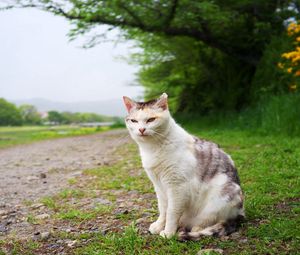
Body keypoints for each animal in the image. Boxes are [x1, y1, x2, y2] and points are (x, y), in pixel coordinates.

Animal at [122, 92, 244, 240]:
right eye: (134, 121)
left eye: (151, 119)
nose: (141, 129)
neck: (152, 148)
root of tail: (241, 213)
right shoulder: (159, 186)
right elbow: (163, 209)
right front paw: (159, 225)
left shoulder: (177, 187)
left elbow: (171, 212)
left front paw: (168, 232)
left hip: (219, 199)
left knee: (209, 222)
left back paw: (192, 229)